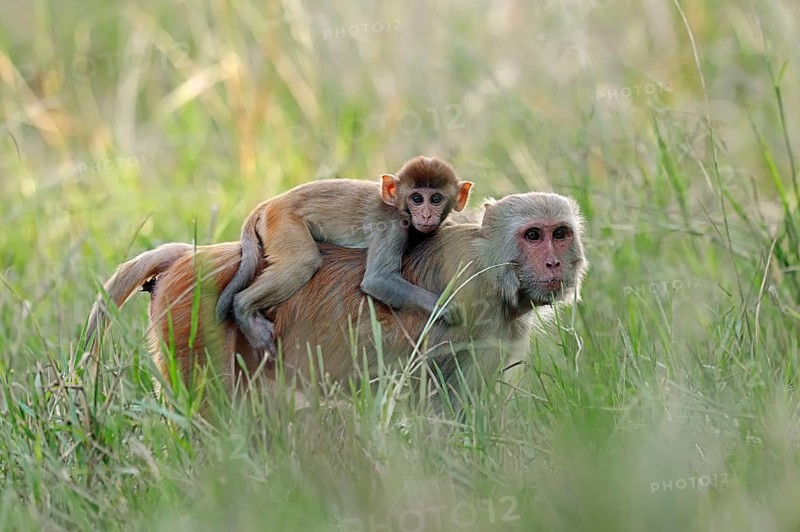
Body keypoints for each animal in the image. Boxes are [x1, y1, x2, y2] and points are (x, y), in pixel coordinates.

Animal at [85, 192, 586, 405]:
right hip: (191, 325)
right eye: (533, 235)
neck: (494, 265)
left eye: (559, 234)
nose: (553, 264)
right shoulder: (469, 305)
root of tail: (191, 258)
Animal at [214, 156, 473, 361]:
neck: (399, 208)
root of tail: (270, 204)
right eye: (417, 199)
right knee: (303, 262)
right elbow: (378, 281)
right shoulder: (391, 226)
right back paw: (243, 307)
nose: (427, 215)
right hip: (284, 222)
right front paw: (446, 306)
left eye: (436, 199)